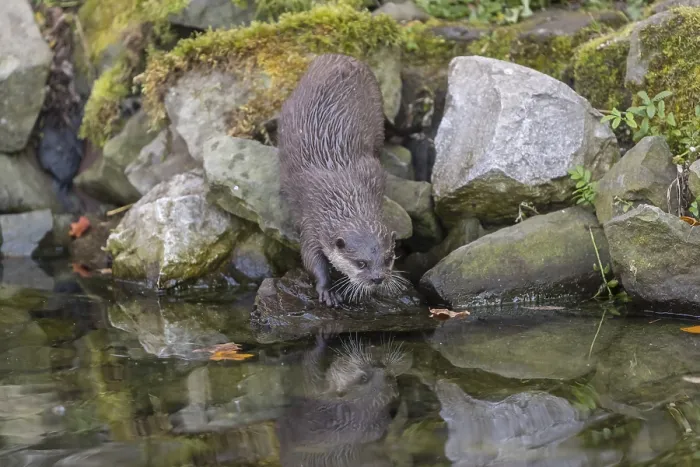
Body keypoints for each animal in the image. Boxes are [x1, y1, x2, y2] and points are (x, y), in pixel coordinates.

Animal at [278, 53, 405, 307]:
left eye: (388, 258)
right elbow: (310, 258)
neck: (344, 189)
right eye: (361, 263)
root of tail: (339, 56)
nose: (378, 278)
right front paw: (326, 289)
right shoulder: (312, 222)